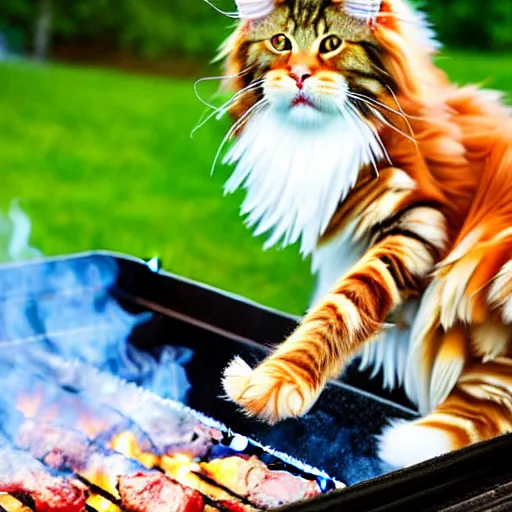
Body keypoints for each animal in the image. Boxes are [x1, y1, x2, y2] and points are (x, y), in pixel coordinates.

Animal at [208, 0, 512, 470]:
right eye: (281, 42)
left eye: (331, 44)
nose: (299, 74)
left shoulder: (419, 226)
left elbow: (344, 306)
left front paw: (275, 385)